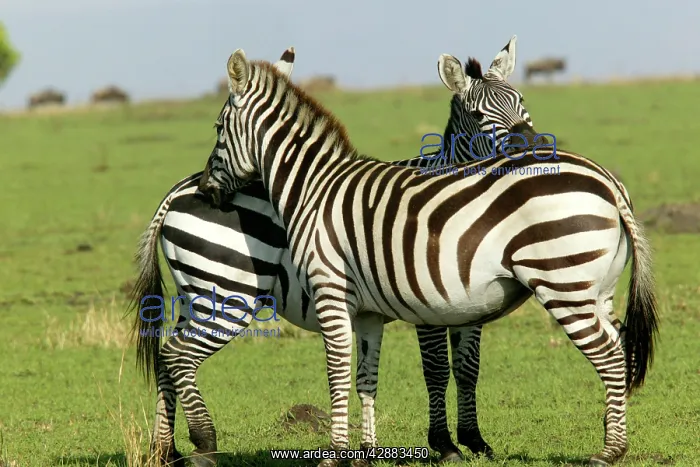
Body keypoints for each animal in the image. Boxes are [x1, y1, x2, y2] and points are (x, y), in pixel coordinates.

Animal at [131, 38, 537, 467]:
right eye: (478, 115)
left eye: (521, 100)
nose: (535, 143)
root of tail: (183, 187)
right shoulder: (426, 304)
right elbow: (437, 369)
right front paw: (444, 444)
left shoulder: (467, 306)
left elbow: (466, 368)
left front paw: (474, 439)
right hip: (225, 292)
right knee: (177, 356)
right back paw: (197, 443)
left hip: (197, 294)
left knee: (165, 360)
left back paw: (165, 449)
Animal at [196, 46, 660, 467]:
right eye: (479, 115)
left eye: (217, 128)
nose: (206, 191)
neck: (316, 186)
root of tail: (607, 181)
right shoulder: (402, 305)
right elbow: (393, 373)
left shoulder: (334, 290)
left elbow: (341, 370)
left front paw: (338, 455)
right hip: (597, 289)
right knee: (620, 347)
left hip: (564, 284)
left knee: (610, 354)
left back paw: (610, 452)